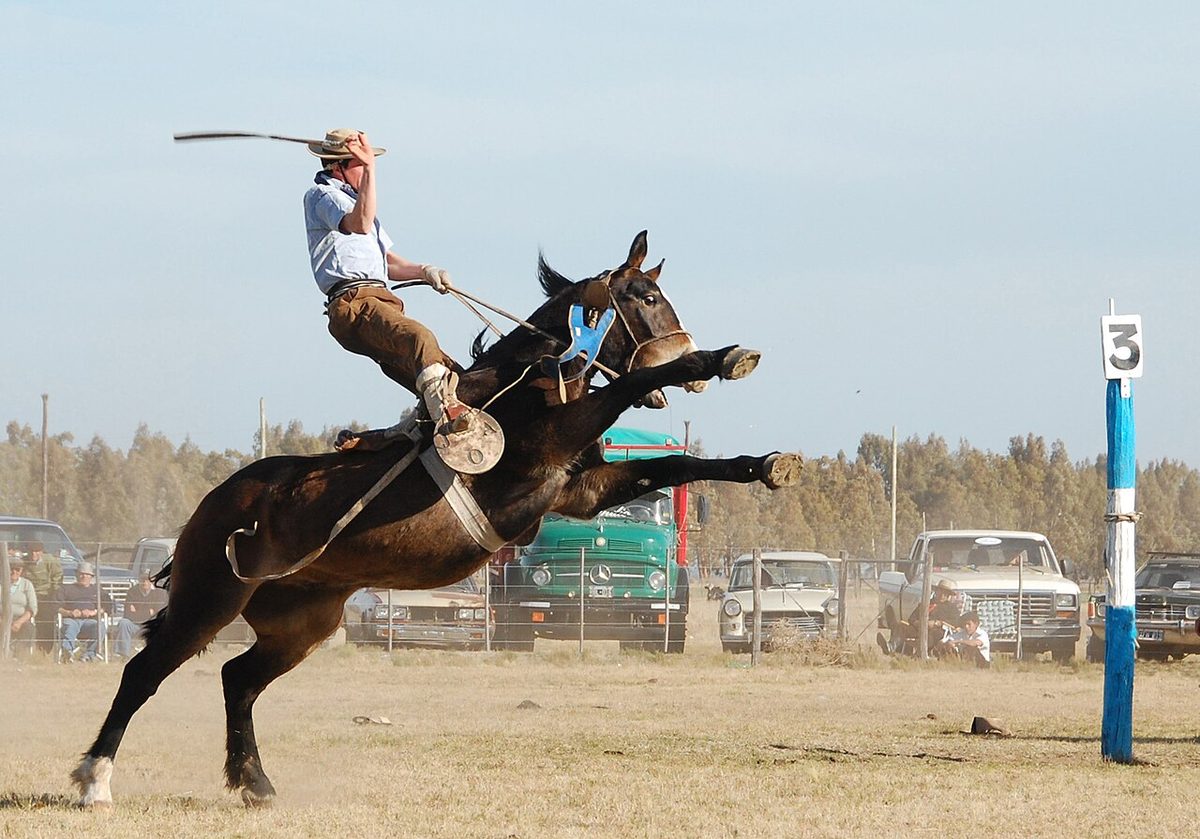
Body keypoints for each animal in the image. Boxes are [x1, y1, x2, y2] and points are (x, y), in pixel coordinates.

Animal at [72, 231, 803, 808]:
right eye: (646, 297)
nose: (687, 353)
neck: (523, 388)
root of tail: (214, 504)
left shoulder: (581, 491)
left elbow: (679, 463)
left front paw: (770, 464)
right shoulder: (544, 459)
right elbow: (625, 388)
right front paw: (719, 359)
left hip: (302, 619)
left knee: (237, 680)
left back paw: (255, 782)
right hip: (211, 597)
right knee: (145, 673)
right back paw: (93, 779)